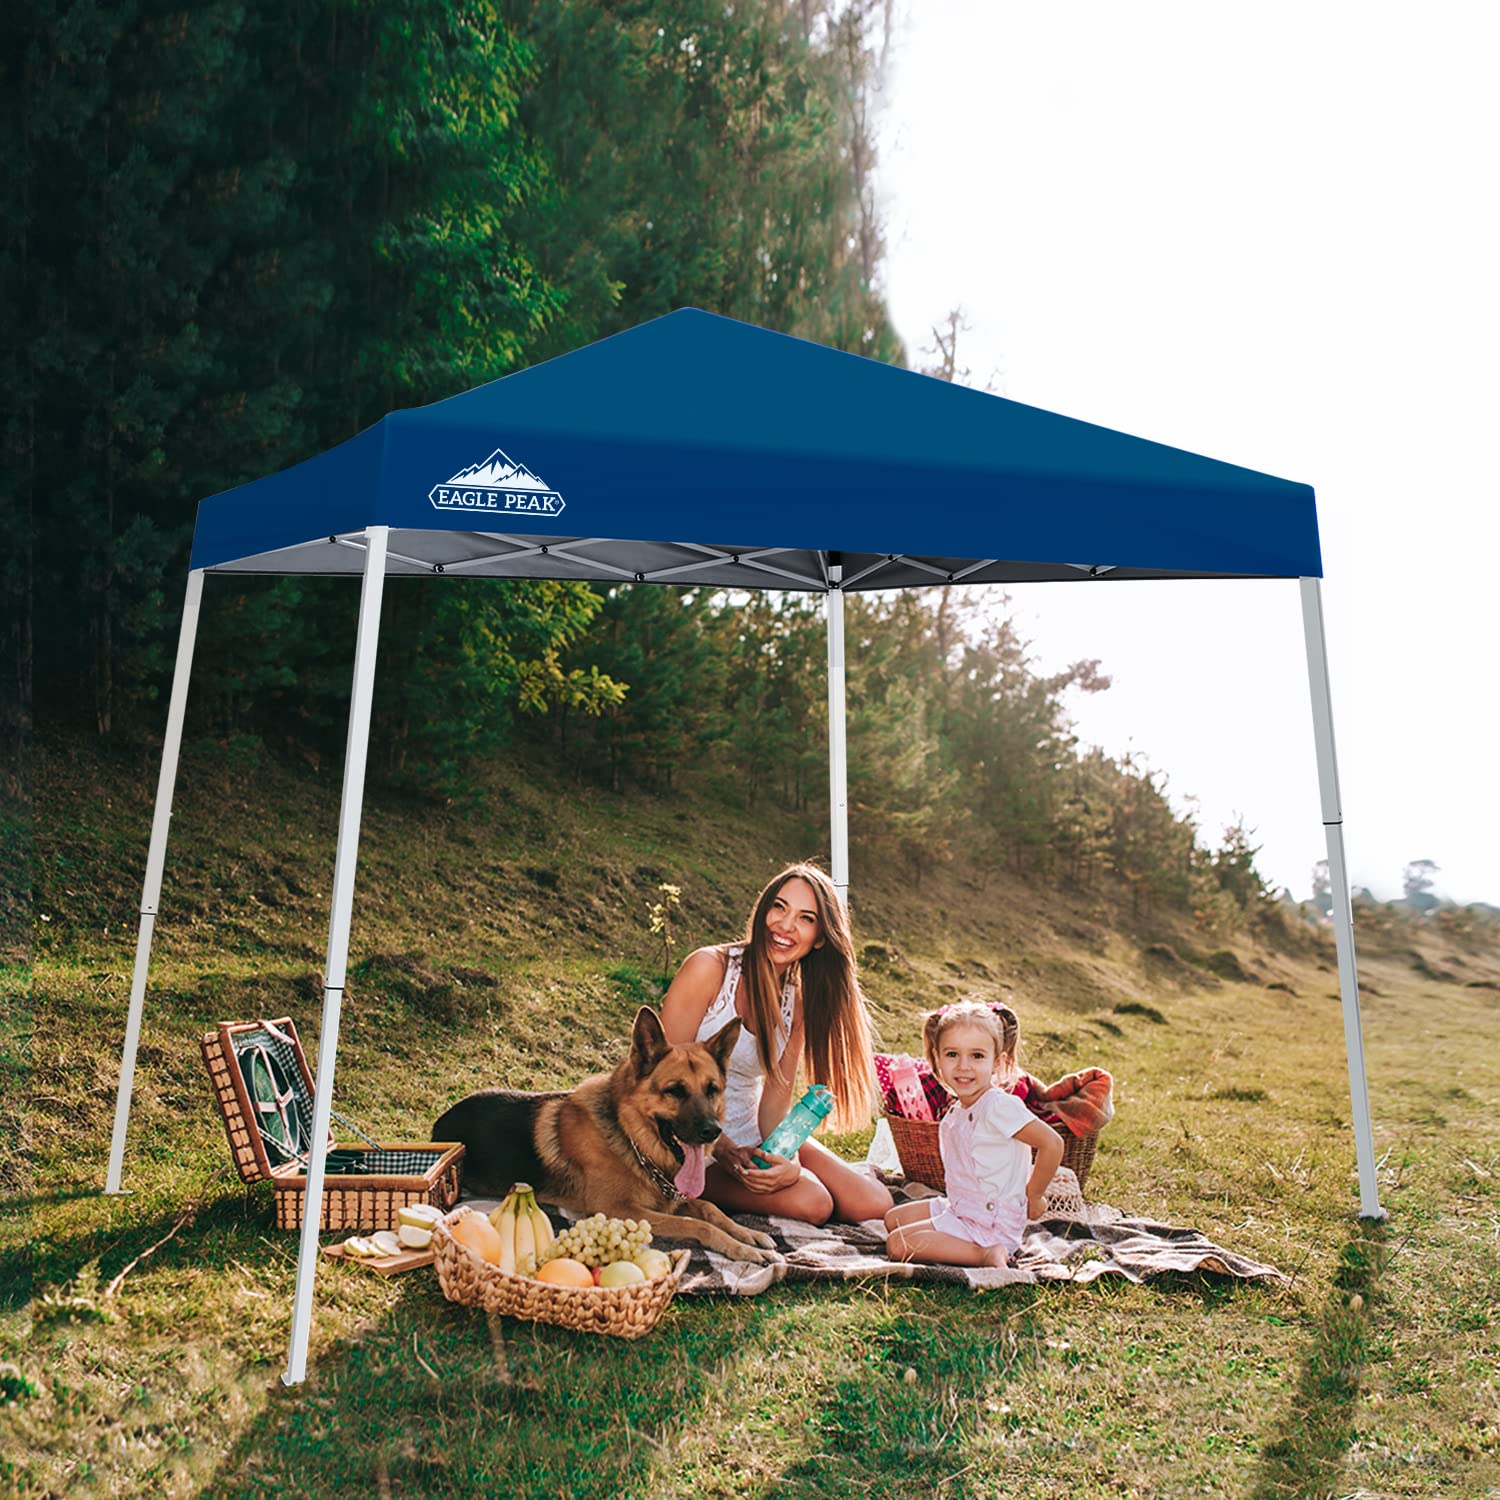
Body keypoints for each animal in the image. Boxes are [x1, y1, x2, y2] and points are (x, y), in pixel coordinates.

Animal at [432, 1008, 786, 1266]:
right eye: (675, 1091)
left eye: (712, 1089)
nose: (713, 1131)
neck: (629, 1137)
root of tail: (441, 1120)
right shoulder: (620, 1209)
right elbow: (696, 1223)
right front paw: (743, 1249)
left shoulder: (669, 1200)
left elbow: (710, 1208)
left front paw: (748, 1234)